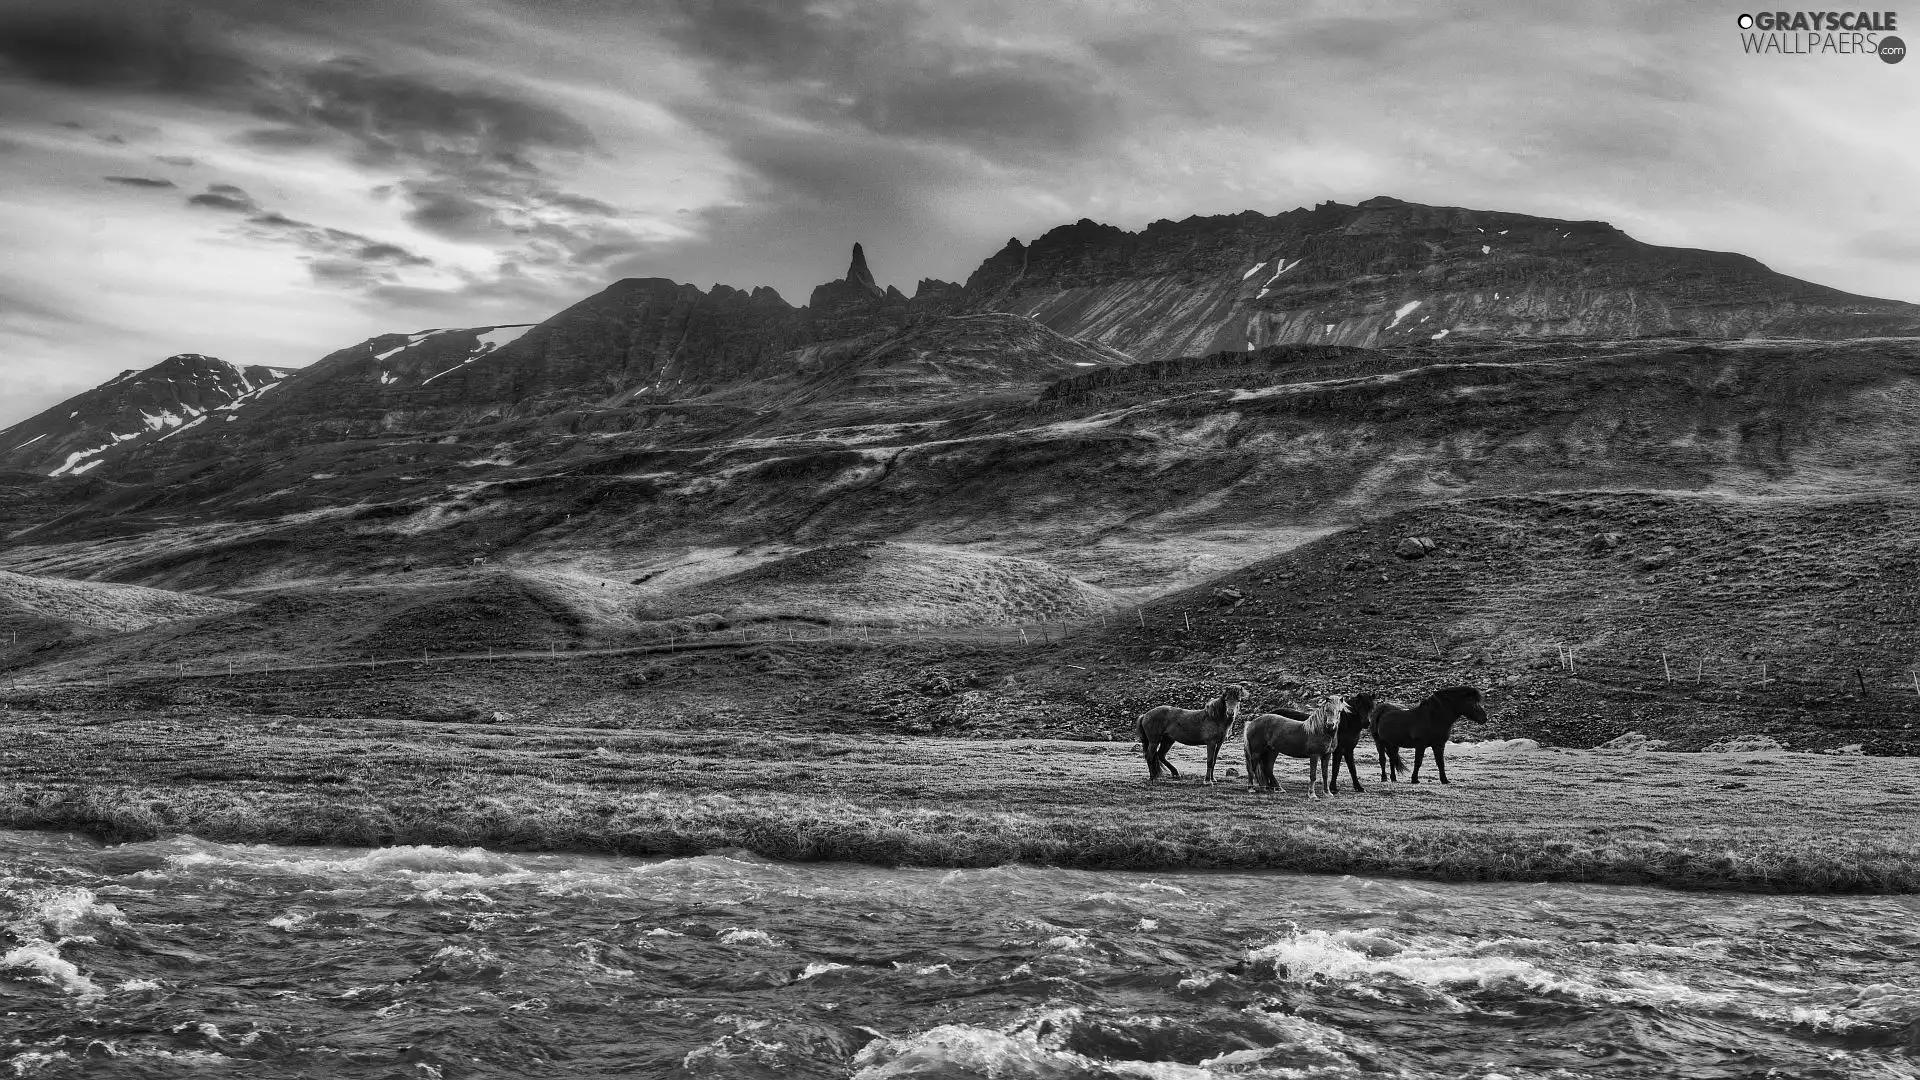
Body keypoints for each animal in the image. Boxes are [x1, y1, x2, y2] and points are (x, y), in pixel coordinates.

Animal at [1244, 687, 1382, 791]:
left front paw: (1359, 787)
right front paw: (1333, 788)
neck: (1345, 725)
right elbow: (1336, 769)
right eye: (1359, 707)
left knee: (1266, 767)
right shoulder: (1337, 751)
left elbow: (1353, 769)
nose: (1366, 723)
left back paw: (1271, 786)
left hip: (1271, 750)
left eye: (1372, 707)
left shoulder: (1348, 750)